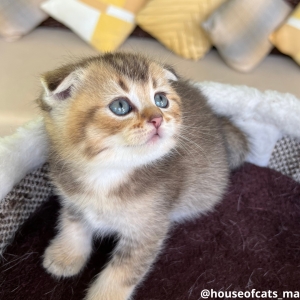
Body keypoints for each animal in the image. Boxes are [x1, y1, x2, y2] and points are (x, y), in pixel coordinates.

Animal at [38, 52, 248, 300]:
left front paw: (104, 295)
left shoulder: (149, 228)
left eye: (161, 100)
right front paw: (66, 255)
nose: (157, 118)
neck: (106, 175)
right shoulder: (72, 198)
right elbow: (73, 223)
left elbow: (123, 271)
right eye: (120, 106)